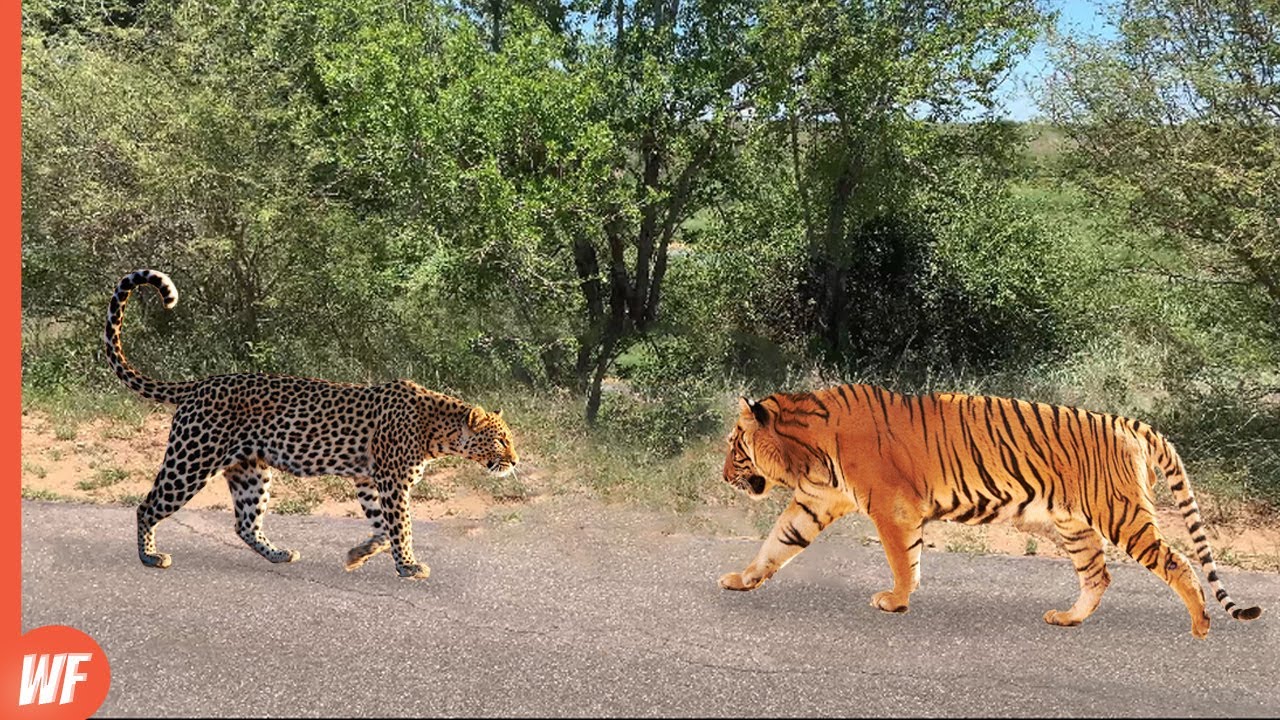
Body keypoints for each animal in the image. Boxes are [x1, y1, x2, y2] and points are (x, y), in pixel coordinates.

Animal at [103, 269, 519, 579]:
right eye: (500, 441)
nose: (515, 461)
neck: (437, 430)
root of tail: (199, 384)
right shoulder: (391, 482)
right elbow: (401, 527)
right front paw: (409, 566)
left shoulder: (369, 480)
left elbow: (382, 529)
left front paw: (357, 555)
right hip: (190, 461)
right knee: (148, 506)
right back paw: (151, 557)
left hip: (250, 470)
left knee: (245, 523)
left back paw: (278, 554)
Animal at [719, 384, 1262, 638]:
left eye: (733, 446)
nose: (723, 475)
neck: (806, 451)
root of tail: (1130, 422)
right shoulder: (814, 503)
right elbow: (777, 542)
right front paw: (740, 580)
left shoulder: (893, 508)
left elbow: (903, 560)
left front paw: (895, 601)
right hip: (1074, 525)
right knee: (1098, 575)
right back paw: (1068, 618)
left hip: (1120, 513)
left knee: (1178, 562)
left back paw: (1200, 627)